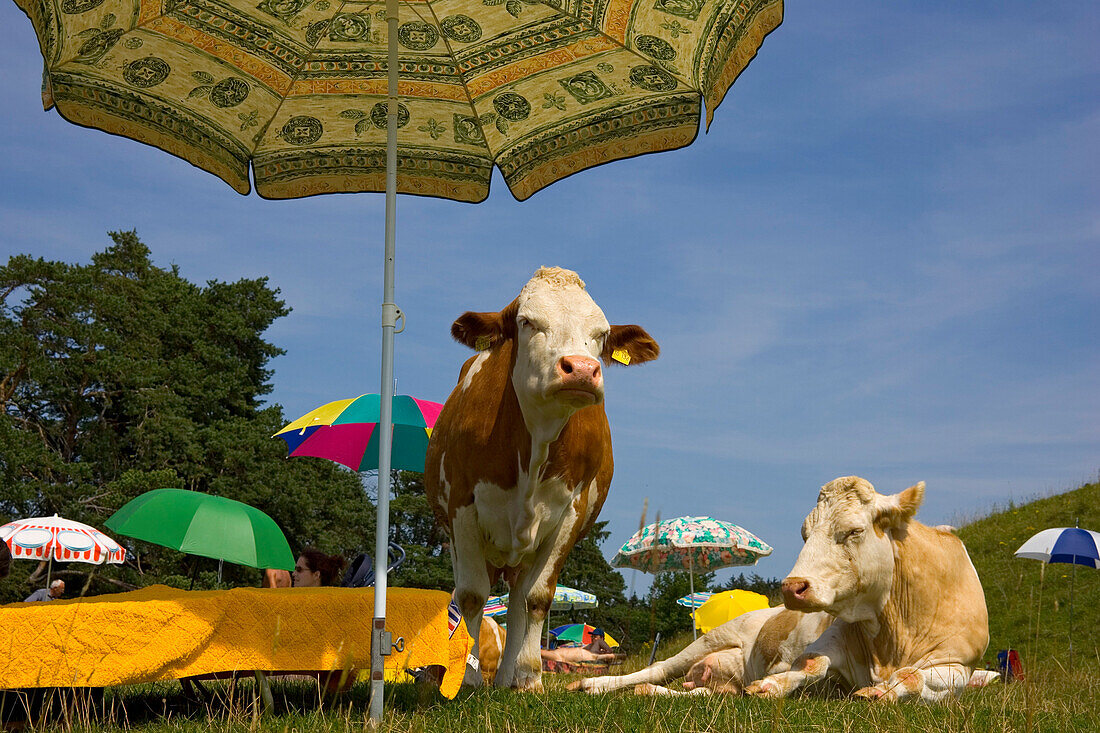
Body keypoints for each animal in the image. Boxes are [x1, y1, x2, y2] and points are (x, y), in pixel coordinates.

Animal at [424, 265, 655, 686]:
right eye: (527, 321)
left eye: (601, 333)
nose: (581, 369)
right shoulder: (462, 505)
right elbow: (472, 596)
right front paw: (468, 678)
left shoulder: (571, 513)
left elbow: (537, 598)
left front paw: (530, 676)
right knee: (470, 594)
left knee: (516, 602)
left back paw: (507, 679)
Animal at [748, 477, 990, 699]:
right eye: (805, 534)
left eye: (854, 531)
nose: (792, 587)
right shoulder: (835, 636)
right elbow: (810, 662)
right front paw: (770, 685)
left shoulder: (957, 665)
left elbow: (911, 675)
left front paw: (880, 692)